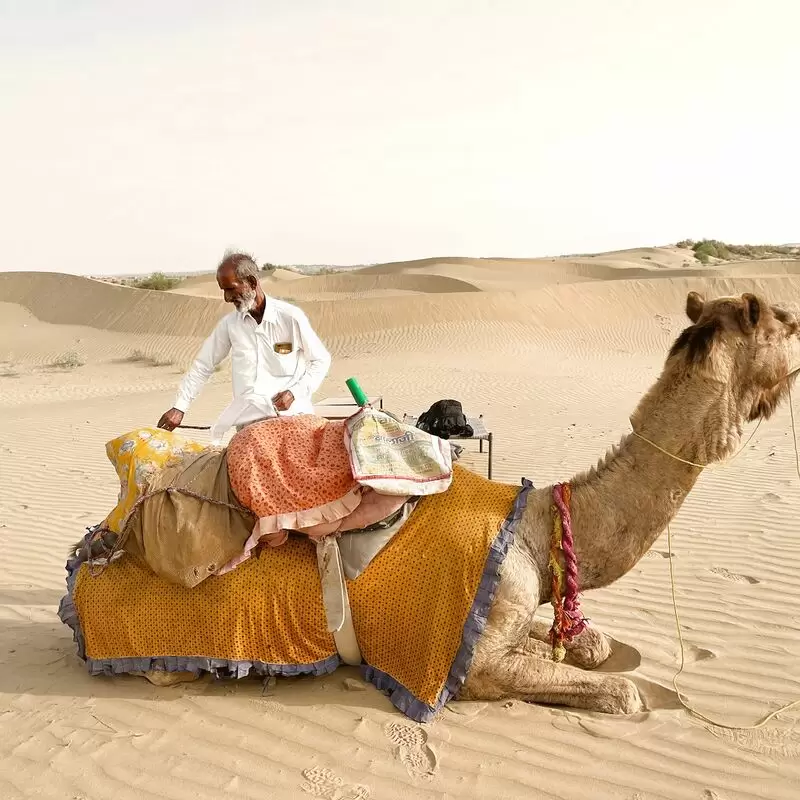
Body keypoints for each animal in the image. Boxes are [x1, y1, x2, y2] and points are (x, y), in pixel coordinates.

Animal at [70, 290, 800, 716]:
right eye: (784, 324)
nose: (799, 337)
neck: (537, 525)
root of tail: (100, 541)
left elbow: (591, 649)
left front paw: (583, 644)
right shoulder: (472, 661)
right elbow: (621, 692)